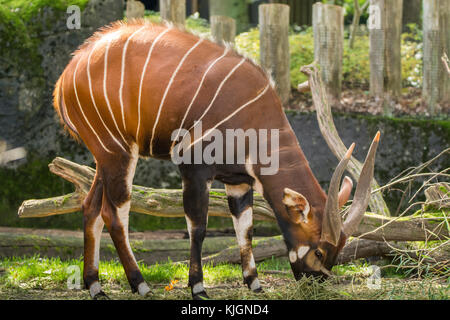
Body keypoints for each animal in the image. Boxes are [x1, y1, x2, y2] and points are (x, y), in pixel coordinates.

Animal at [53, 20, 380, 300]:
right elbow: (198, 227)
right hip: (117, 152)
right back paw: (140, 284)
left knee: (91, 207)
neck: (255, 118)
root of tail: (67, 75)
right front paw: (198, 287)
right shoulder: (194, 169)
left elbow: (245, 229)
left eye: (337, 252)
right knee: (114, 212)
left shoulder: (239, 182)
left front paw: (254, 283)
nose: (316, 281)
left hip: (105, 158)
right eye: (320, 252)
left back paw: (95, 286)